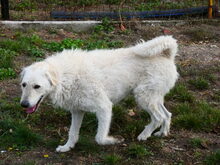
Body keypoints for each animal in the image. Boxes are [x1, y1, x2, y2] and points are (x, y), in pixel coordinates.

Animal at [20, 35, 179, 152]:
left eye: (37, 86)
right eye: (24, 85)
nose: (23, 104)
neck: (64, 76)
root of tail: (167, 55)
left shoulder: (104, 107)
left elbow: (99, 138)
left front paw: (114, 140)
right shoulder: (77, 111)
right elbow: (72, 133)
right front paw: (67, 147)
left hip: (143, 97)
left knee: (158, 118)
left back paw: (144, 135)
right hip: (154, 98)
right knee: (167, 114)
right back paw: (162, 133)